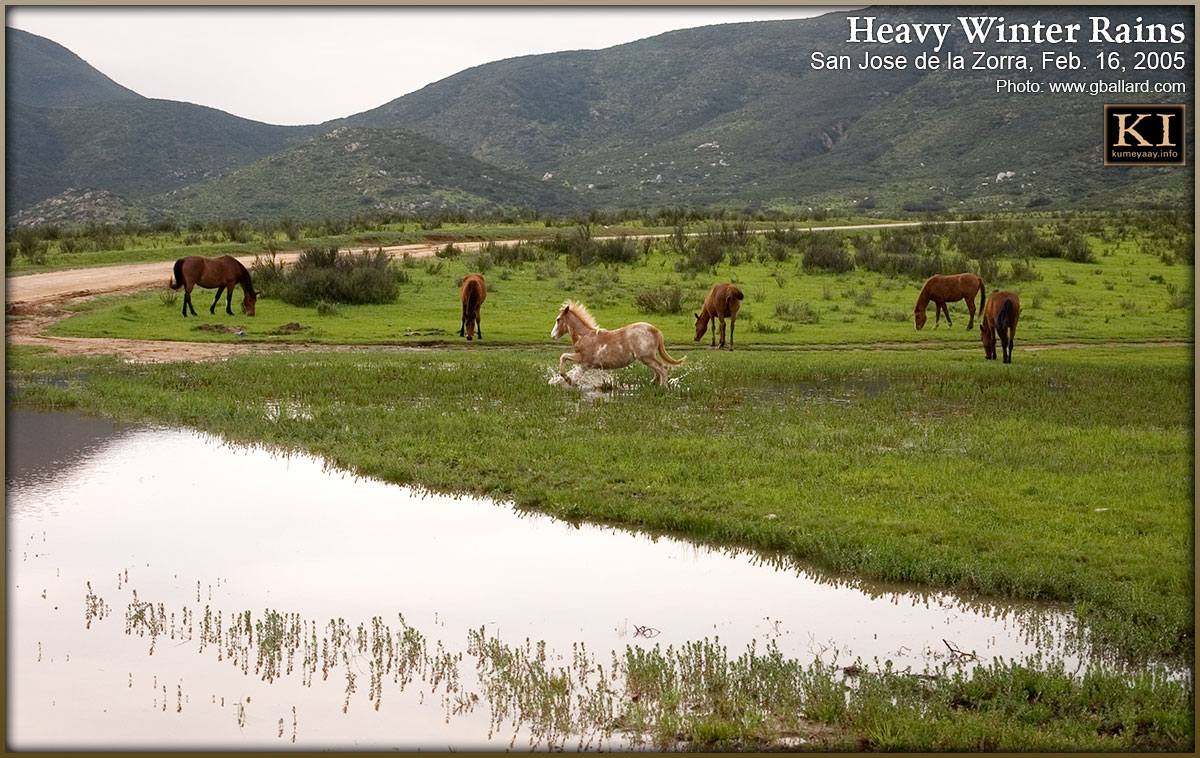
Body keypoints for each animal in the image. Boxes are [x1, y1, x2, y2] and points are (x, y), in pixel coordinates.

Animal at [550, 301, 685, 387]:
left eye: (558, 319)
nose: (552, 335)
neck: (585, 336)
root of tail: (657, 331)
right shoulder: (584, 364)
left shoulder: (584, 361)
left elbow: (564, 358)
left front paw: (568, 380)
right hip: (648, 357)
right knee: (658, 370)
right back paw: (653, 384)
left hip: (646, 357)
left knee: (662, 368)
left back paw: (662, 388)